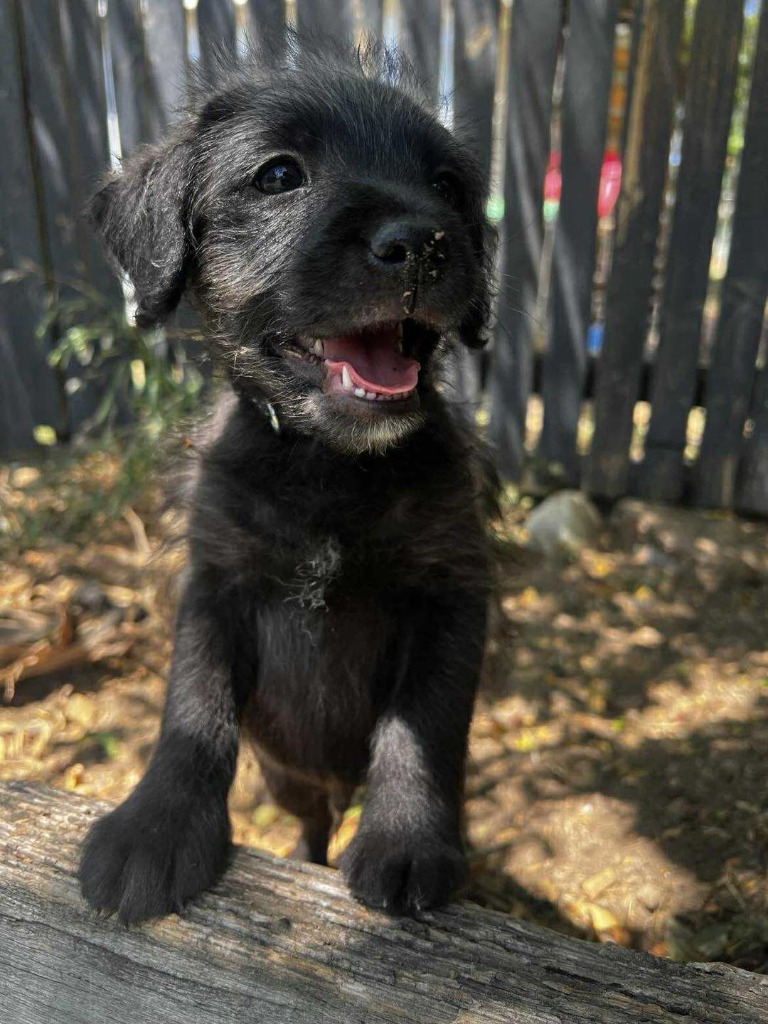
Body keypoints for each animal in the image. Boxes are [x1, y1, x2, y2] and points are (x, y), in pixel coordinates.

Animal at [78, 34, 496, 924]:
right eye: (277, 176)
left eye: (448, 186)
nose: (422, 242)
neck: (326, 465)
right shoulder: (216, 585)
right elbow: (192, 708)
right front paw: (155, 827)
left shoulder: (449, 592)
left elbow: (421, 723)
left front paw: (407, 838)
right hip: (290, 780)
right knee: (311, 824)